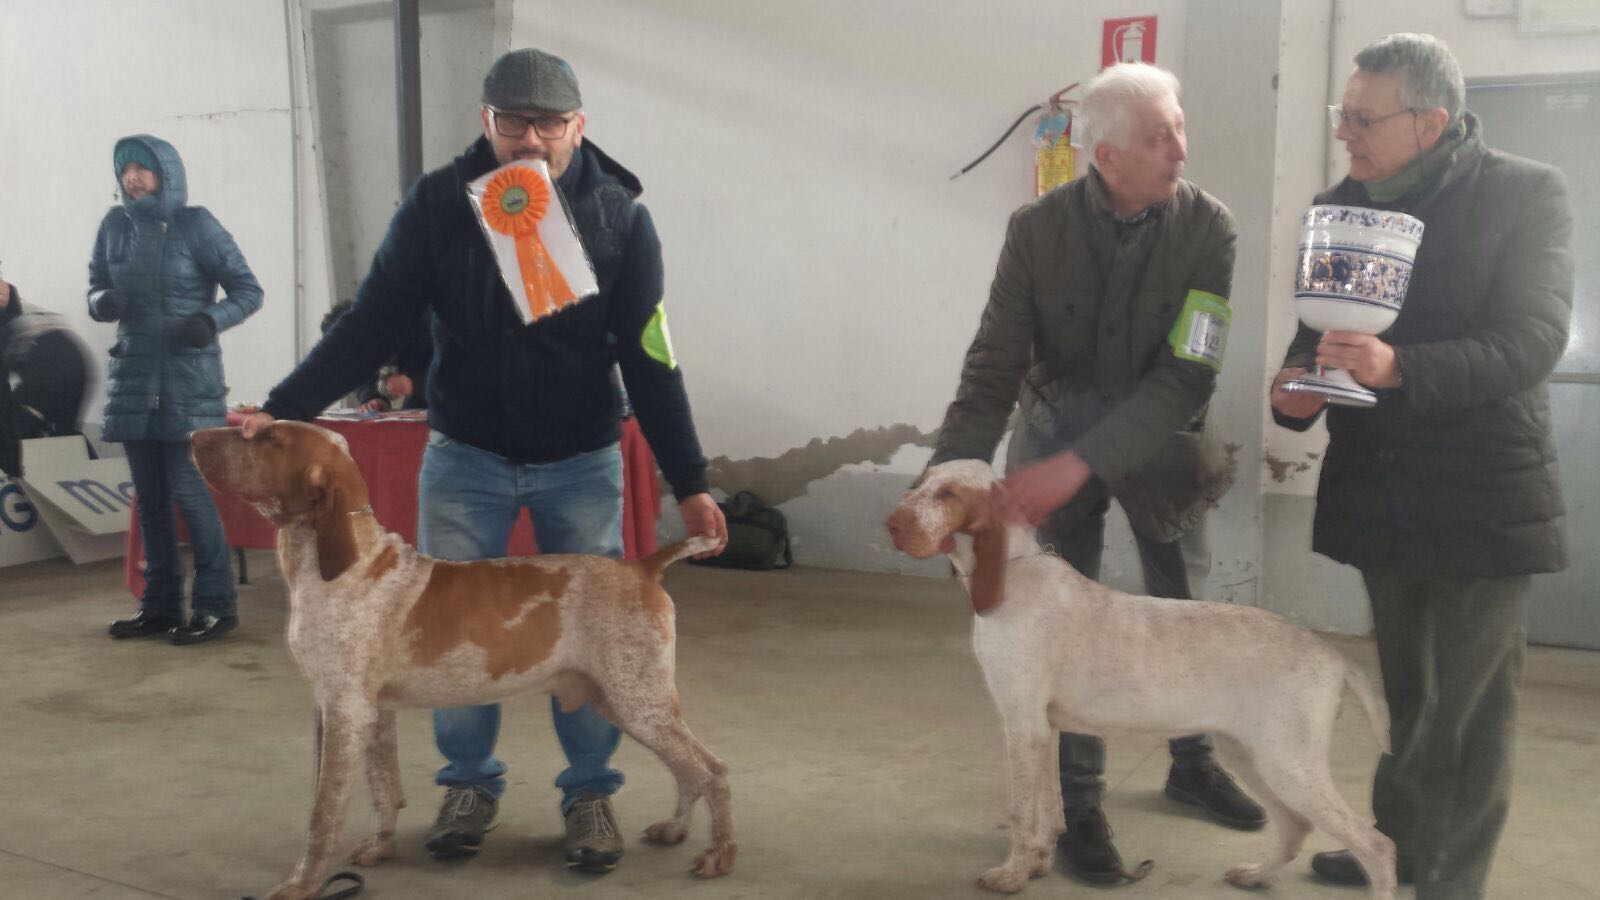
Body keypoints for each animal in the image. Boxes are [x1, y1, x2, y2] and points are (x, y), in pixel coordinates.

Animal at [190, 421, 735, 900]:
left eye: (268, 437)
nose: (194, 436)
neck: (343, 566)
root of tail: (641, 568)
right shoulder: (372, 713)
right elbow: (384, 788)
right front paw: (380, 847)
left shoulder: (342, 711)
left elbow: (322, 814)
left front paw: (303, 885)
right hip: (620, 700)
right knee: (689, 770)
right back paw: (676, 830)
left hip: (638, 699)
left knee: (712, 770)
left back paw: (719, 855)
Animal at [885, 459, 1395, 898]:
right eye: (922, 482)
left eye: (949, 494)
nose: (892, 523)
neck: (1012, 574)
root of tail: (1332, 655)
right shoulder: (1044, 729)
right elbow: (1049, 809)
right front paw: (1038, 863)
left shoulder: (1021, 725)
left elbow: (1021, 812)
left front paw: (1011, 874)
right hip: (1250, 752)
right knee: (1295, 828)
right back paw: (1253, 875)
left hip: (1287, 762)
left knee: (1376, 847)